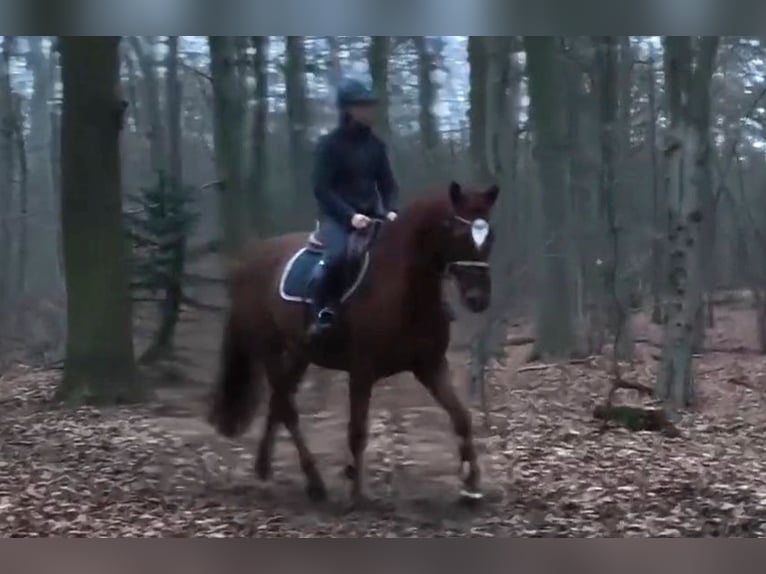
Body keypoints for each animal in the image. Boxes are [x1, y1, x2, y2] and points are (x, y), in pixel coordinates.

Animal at [207, 180, 500, 504]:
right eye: (459, 235)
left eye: (491, 237)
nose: (478, 299)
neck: (402, 287)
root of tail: (249, 259)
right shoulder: (362, 370)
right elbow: (357, 430)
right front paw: (358, 492)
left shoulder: (430, 365)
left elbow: (461, 417)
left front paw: (471, 485)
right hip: (269, 347)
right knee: (287, 407)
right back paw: (314, 481)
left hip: (299, 352)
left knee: (278, 403)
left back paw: (265, 469)